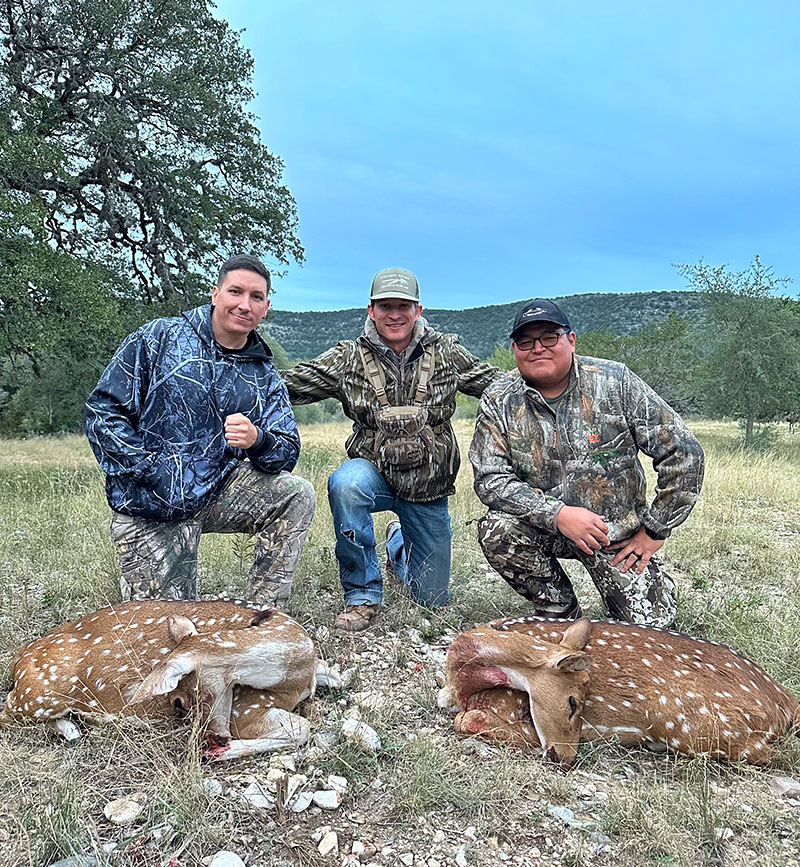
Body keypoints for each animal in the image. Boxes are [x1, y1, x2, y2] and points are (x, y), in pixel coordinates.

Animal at [1, 599, 340, 761]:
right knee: (6, 711)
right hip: (40, 696)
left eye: (190, 697)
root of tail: (18, 659)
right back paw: (72, 727)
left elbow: (337, 678)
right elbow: (302, 728)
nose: (176, 707)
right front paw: (221, 752)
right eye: (182, 700)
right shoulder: (246, 709)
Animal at [439, 616, 800, 766]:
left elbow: (466, 721)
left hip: (686, 720)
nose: (567, 758)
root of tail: (785, 698)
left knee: (766, 754)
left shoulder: (508, 704)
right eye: (572, 702)